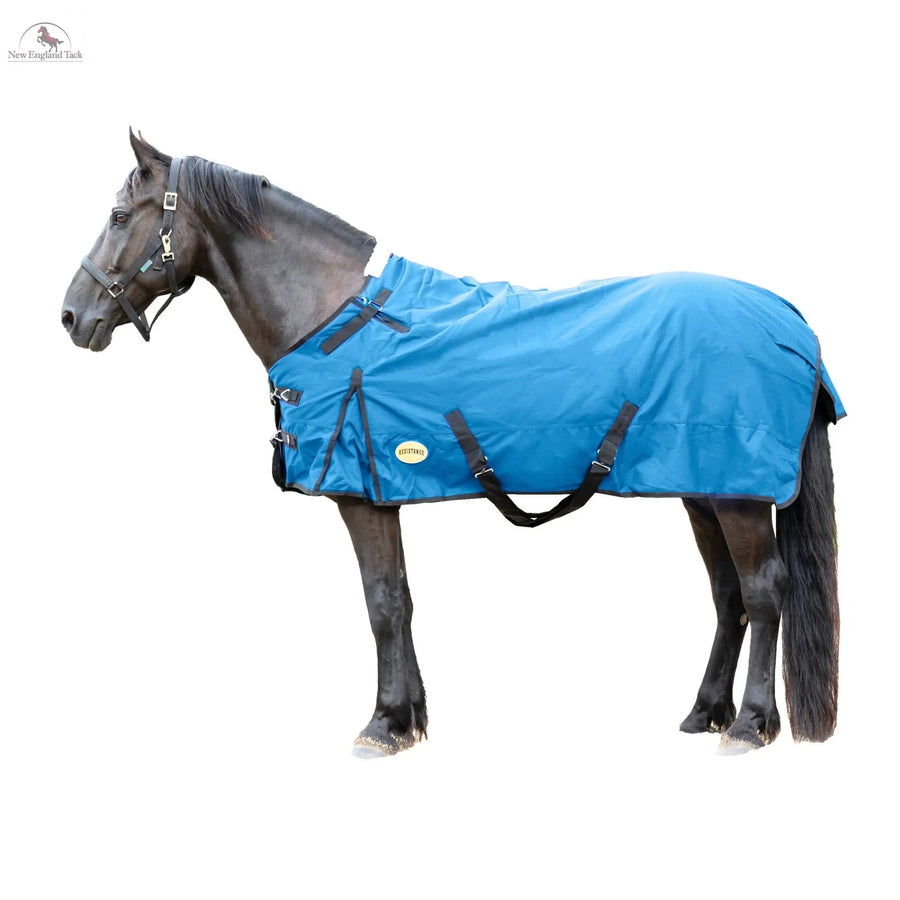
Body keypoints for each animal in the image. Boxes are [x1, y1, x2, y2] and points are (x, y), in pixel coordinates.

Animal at [61, 130, 842, 757]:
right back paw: (705, 712)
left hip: (739, 496)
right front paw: (409, 719)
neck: (331, 314)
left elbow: (380, 602)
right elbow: (402, 599)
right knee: (728, 594)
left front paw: (381, 726)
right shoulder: (382, 493)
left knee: (764, 592)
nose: (71, 315)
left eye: (118, 216)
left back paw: (750, 725)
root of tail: (789, 318)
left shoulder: (360, 496)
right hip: (703, 489)